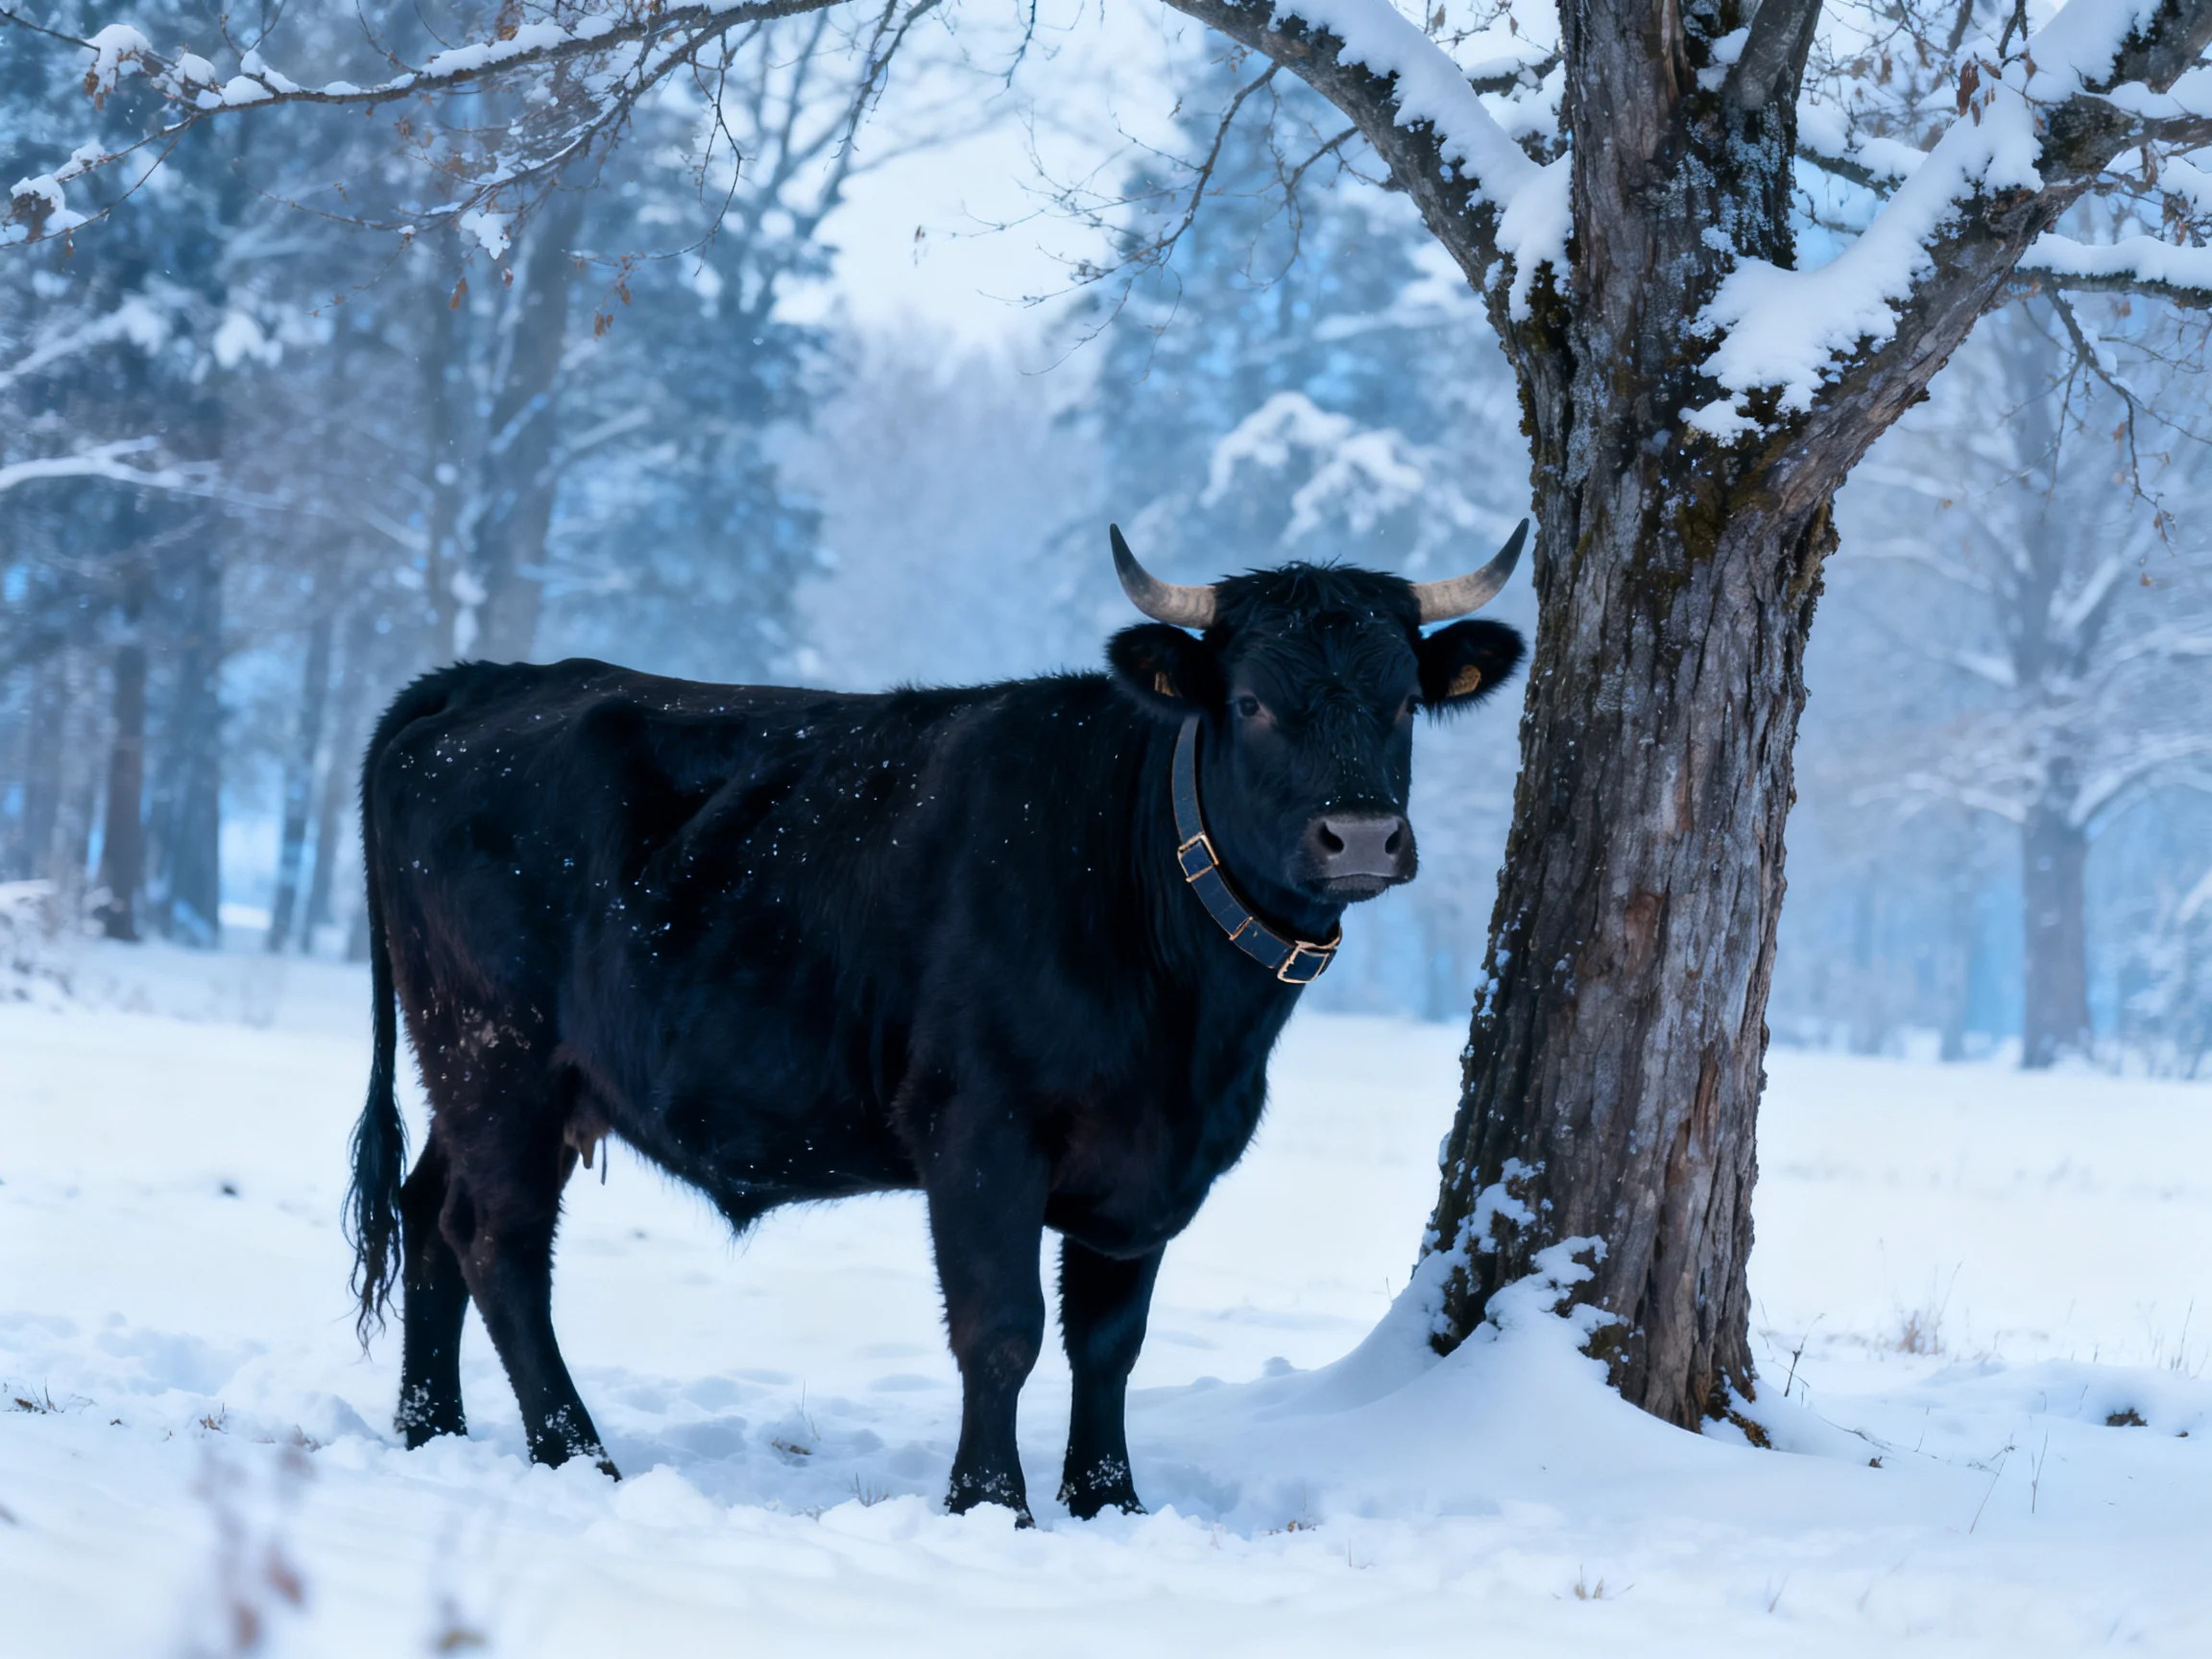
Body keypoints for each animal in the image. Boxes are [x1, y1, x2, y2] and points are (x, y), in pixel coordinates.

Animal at [345, 523, 1527, 1521]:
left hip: (492, 1076)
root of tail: (488, 680)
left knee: (430, 1210)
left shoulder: (1149, 1163)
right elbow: (1001, 1330)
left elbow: (1111, 1341)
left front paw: (1110, 1502)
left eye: (1402, 701)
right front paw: (994, 1505)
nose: (1361, 835)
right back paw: (577, 1456)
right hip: (497, 1054)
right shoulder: (978, 1128)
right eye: (1249, 703)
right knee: (496, 1241)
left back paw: (432, 1430)